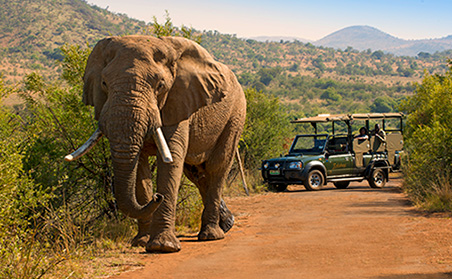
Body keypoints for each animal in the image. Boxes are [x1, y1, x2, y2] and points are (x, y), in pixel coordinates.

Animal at [65, 35, 245, 254]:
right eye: (104, 83)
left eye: (160, 86)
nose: (157, 197)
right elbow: (140, 167)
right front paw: (141, 242)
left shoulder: (178, 101)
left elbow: (171, 159)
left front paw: (163, 246)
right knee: (197, 174)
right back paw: (227, 224)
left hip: (235, 115)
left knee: (216, 167)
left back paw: (211, 235)